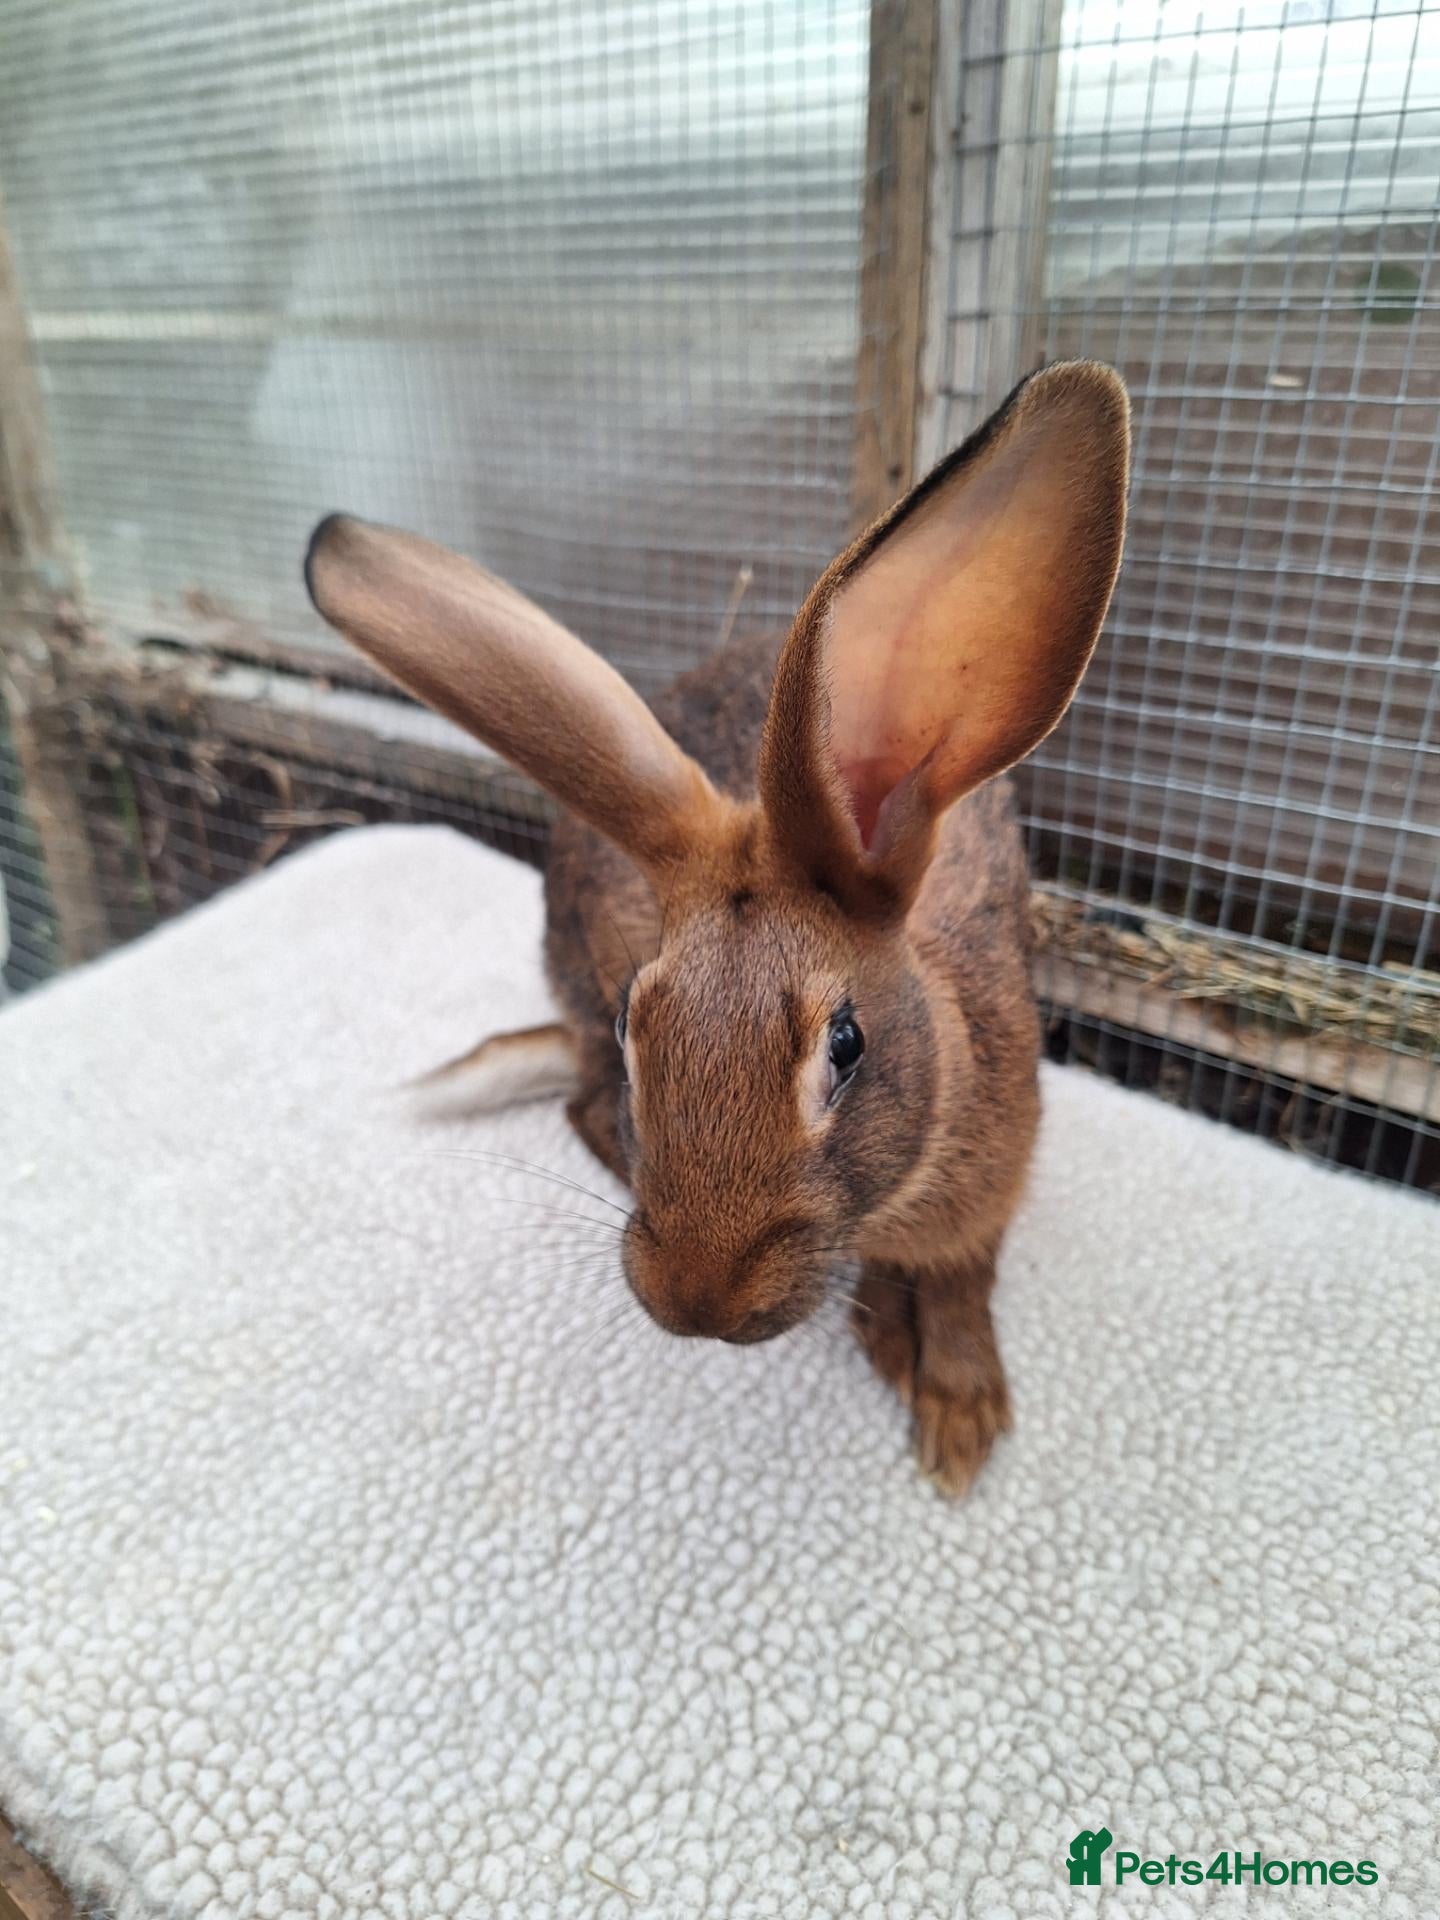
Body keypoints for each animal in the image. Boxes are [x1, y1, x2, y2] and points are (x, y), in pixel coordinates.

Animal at [304, 360, 1130, 1494]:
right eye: (632, 1024)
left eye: (846, 1045)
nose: (694, 1302)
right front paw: (889, 1343)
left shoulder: (993, 1181)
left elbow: (965, 1285)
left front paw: (958, 1422)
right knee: (581, 1109)